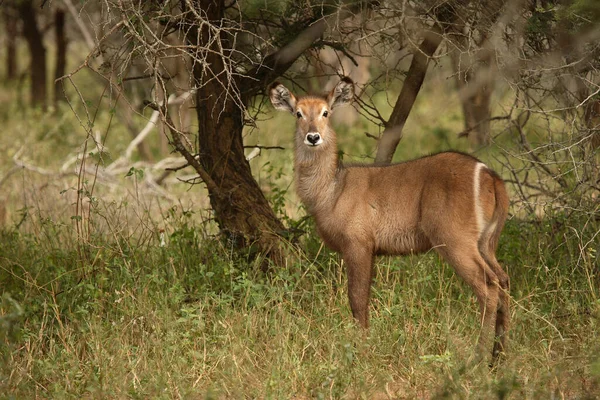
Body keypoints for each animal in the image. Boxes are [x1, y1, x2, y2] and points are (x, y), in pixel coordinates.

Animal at [272, 76, 510, 364]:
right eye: (298, 113)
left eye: (325, 112)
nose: (313, 136)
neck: (331, 190)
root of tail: (489, 175)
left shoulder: (358, 244)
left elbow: (357, 300)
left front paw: (361, 353)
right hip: (487, 242)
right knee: (504, 280)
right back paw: (498, 358)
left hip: (456, 241)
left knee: (489, 287)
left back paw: (477, 359)